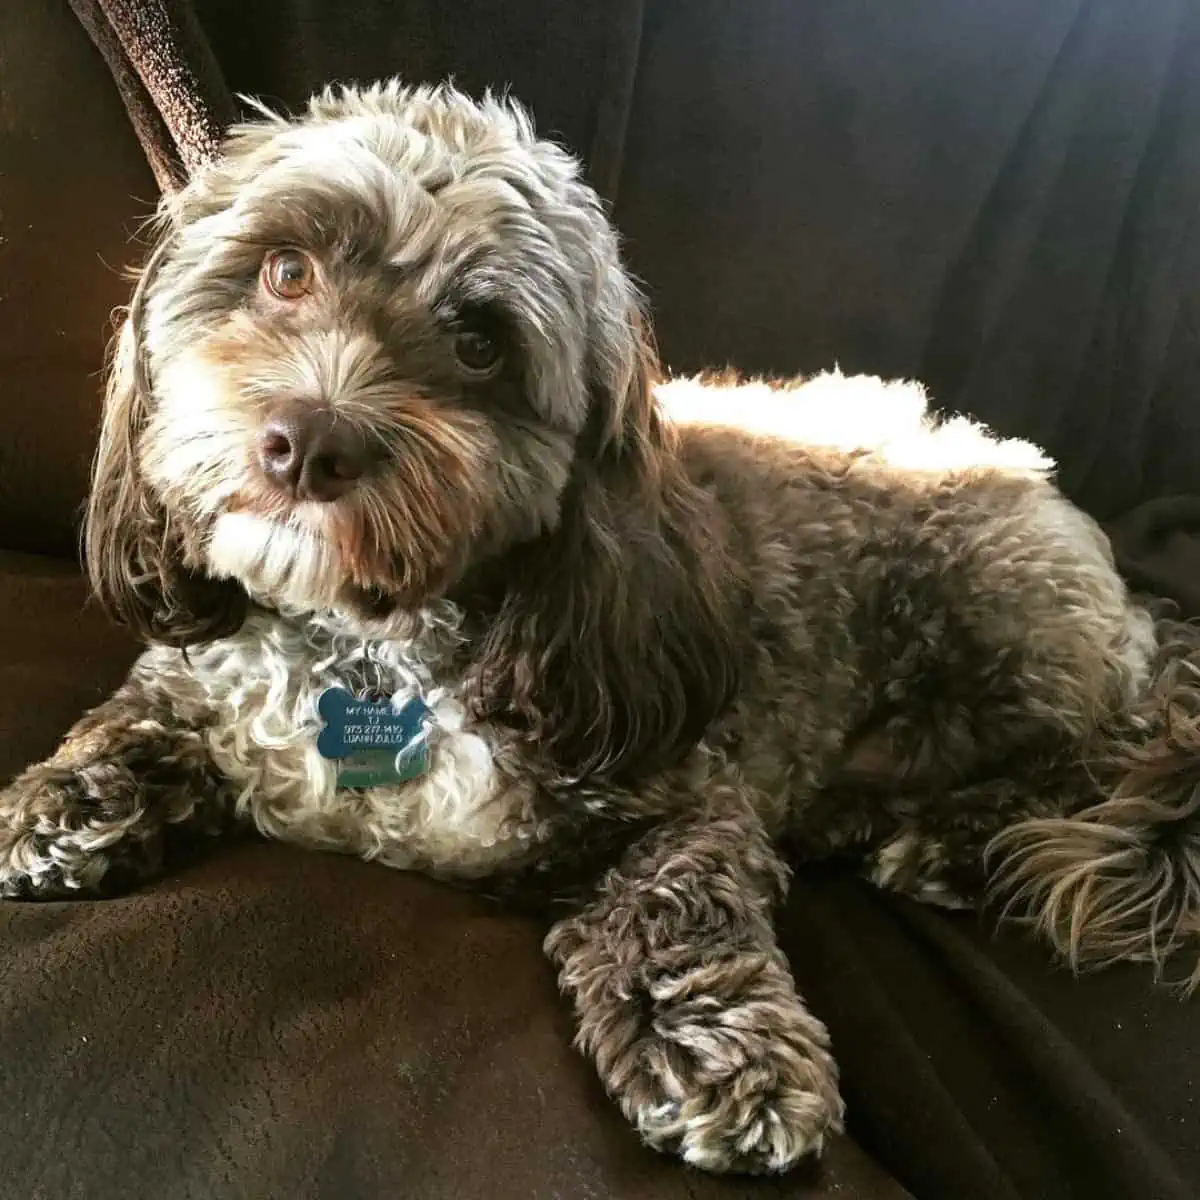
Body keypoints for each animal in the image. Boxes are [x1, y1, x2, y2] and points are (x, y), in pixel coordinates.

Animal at [2, 82, 1200, 1171]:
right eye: (285, 269)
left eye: (480, 341)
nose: (308, 440)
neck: (372, 649)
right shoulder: (197, 676)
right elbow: (132, 717)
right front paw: (58, 806)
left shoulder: (688, 790)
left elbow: (673, 904)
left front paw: (714, 1044)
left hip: (1002, 618)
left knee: (1085, 766)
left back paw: (949, 841)